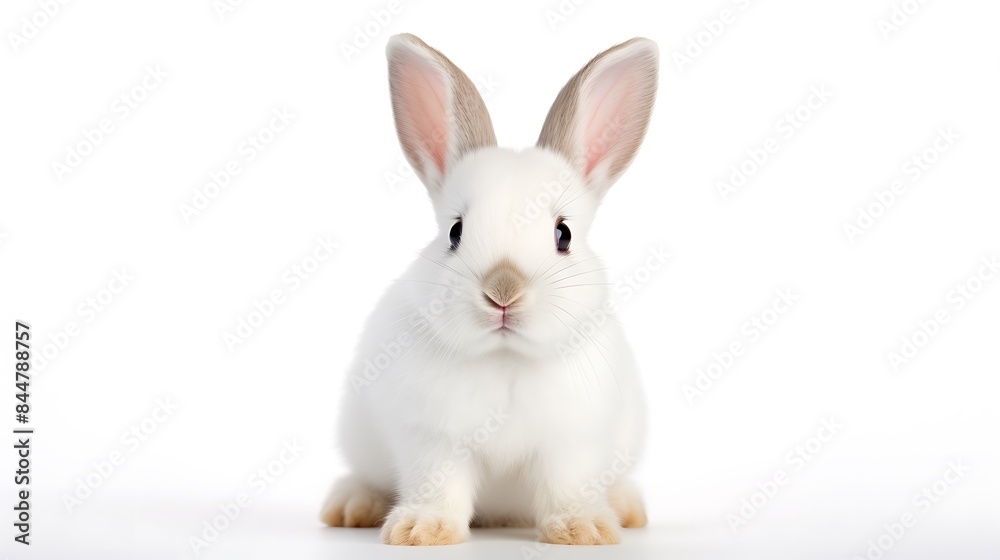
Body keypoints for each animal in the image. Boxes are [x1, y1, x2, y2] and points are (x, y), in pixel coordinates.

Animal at [320, 33, 658, 546]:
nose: (504, 290)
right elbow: (438, 486)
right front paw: (422, 531)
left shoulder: (573, 443)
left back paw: (626, 507)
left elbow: (568, 486)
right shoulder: (432, 440)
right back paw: (352, 507)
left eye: (563, 235)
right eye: (455, 232)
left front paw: (583, 531)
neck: (505, 358)